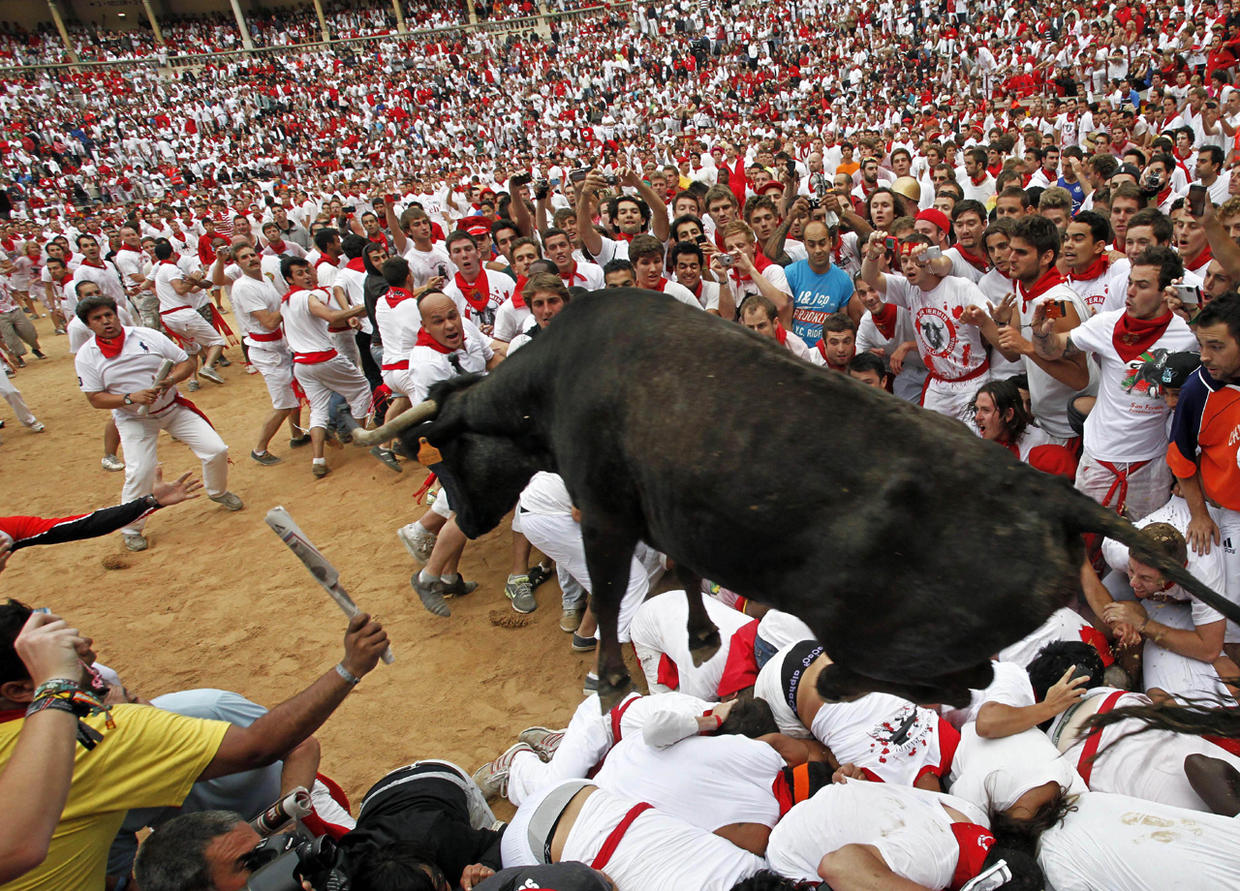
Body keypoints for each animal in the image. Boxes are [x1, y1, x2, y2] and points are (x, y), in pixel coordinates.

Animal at [367, 291, 1240, 708]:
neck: (552, 384)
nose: (465, 517)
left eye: (447, 452)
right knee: (973, 679)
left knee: (940, 682)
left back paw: (841, 678)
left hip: (872, 630)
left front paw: (613, 675)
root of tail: (1052, 498)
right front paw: (702, 635)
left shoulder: (606, 511)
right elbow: (685, 568)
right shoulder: (668, 505)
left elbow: (612, 592)